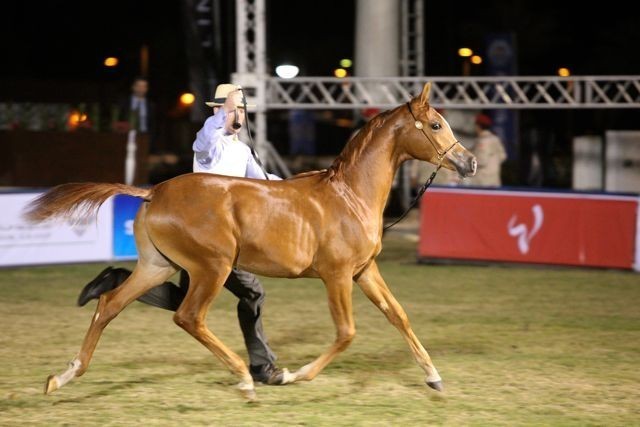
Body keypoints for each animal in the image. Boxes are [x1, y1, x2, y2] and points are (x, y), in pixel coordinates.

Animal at [26, 83, 476, 401]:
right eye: (436, 125)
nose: (468, 162)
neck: (349, 195)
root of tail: (153, 192)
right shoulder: (336, 275)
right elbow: (346, 332)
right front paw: (296, 374)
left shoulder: (364, 270)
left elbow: (398, 315)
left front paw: (434, 377)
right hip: (211, 268)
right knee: (187, 316)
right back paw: (244, 379)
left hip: (159, 265)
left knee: (112, 305)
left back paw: (63, 374)